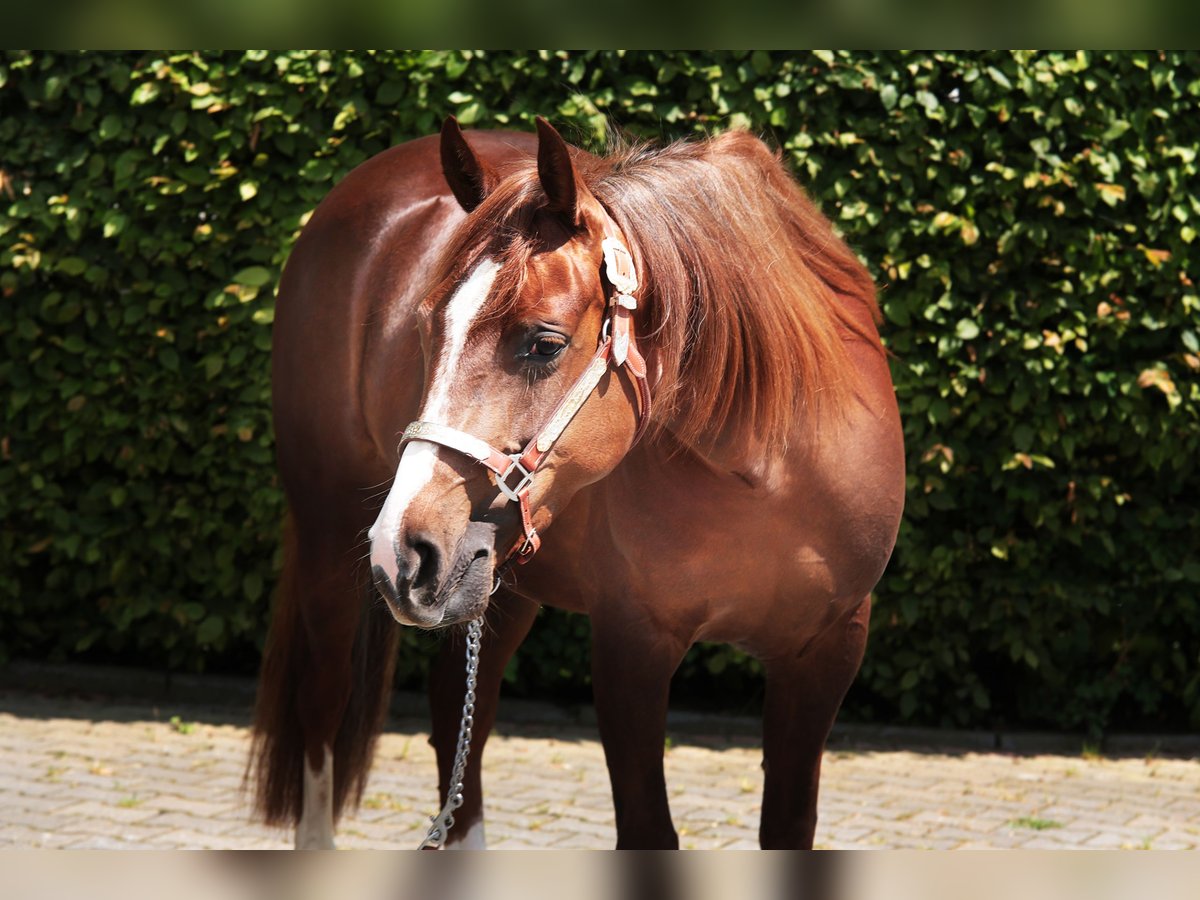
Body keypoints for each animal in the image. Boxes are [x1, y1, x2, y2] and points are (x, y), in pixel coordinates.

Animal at [248, 116, 902, 849]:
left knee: (457, 714)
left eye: (544, 344)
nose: (404, 551)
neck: (767, 470)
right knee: (322, 704)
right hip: (330, 533)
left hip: (496, 579)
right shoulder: (631, 647)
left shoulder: (829, 649)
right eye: (424, 328)